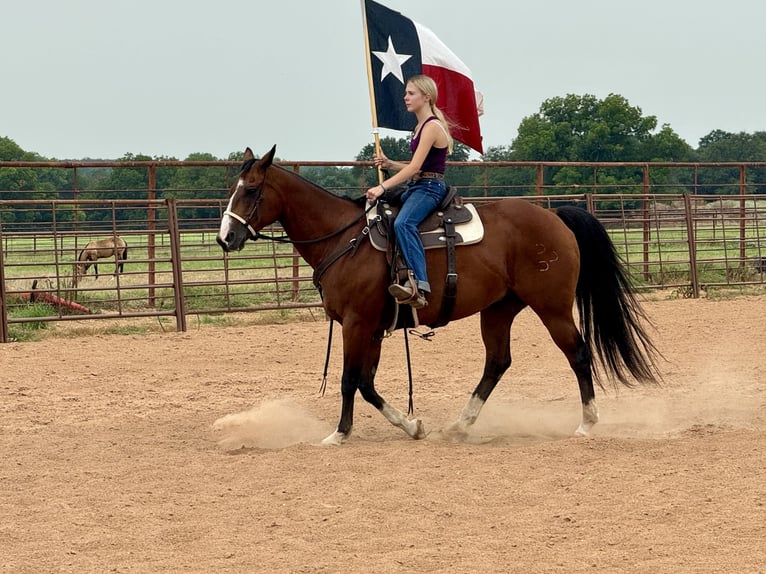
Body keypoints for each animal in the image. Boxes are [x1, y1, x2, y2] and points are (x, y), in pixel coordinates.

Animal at [214, 146, 660, 448]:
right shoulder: (373, 328)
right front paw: (412, 425)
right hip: (499, 309)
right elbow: (367, 383)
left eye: (250, 190)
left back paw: (586, 422)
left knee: (578, 353)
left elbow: (349, 380)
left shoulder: (357, 323)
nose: (225, 238)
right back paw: (460, 425)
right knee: (497, 362)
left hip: (552, 307)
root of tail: (555, 216)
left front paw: (339, 433)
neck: (345, 239)